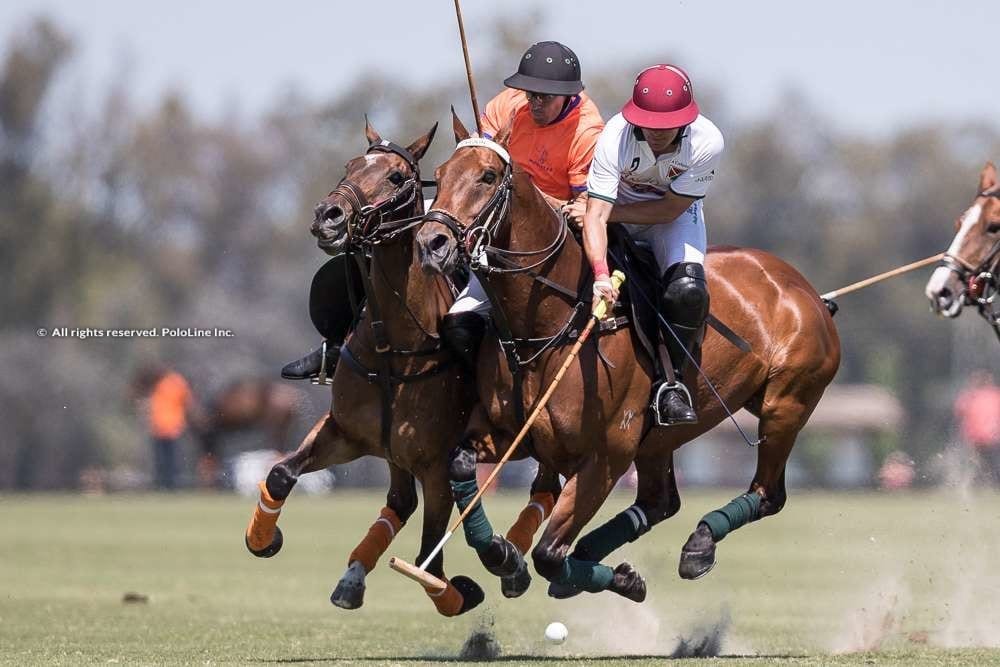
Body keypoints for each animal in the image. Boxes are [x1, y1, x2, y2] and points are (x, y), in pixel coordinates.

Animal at [239, 118, 560, 616]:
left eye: (395, 177)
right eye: (350, 165)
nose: (328, 215)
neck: (392, 348)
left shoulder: (435, 465)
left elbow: (432, 560)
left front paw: (462, 592)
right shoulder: (345, 432)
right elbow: (280, 472)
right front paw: (262, 540)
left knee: (544, 489)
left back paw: (513, 565)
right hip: (394, 451)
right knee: (400, 500)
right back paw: (353, 575)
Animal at [414, 116, 844, 604]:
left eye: (487, 176)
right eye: (440, 175)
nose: (431, 243)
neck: (547, 323)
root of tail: (803, 288)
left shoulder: (606, 455)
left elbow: (548, 553)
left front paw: (614, 578)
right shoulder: (508, 433)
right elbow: (461, 465)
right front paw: (504, 557)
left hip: (785, 403)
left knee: (768, 492)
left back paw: (698, 545)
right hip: (667, 436)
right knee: (660, 501)